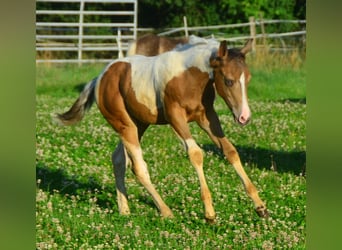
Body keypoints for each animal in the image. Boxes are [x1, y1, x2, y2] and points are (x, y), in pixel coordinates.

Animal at [53, 37, 268, 221]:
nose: (244, 117)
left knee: (119, 159)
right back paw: (165, 210)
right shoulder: (176, 118)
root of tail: (99, 78)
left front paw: (260, 206)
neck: (188, 76)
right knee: (138, 167)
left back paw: (124, 209)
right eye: (229, 80)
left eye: (248, 79)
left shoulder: (206, 116)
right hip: (125, 126)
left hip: (138, 124)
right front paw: (209, 213)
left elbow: (230, 150)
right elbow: (196, 154)